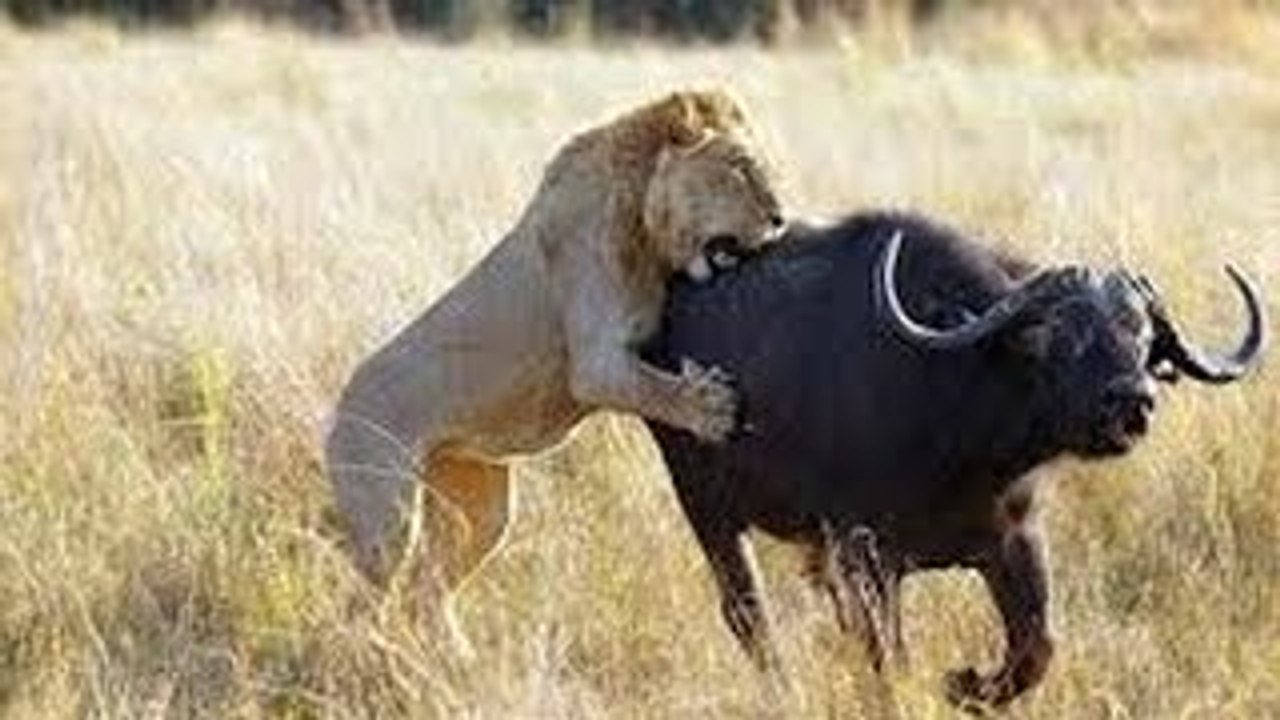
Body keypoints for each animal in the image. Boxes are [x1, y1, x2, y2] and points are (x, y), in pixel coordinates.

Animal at [324, 90, 786, 642]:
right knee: (364, 602)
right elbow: (653, 388)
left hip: (482, 509)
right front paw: (710, 409)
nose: (781, 218)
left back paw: (457, 655)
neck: (641, 218)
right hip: (387, 521)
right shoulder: (594, 361)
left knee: (427, 592)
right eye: (740, 167)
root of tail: (339, 407)